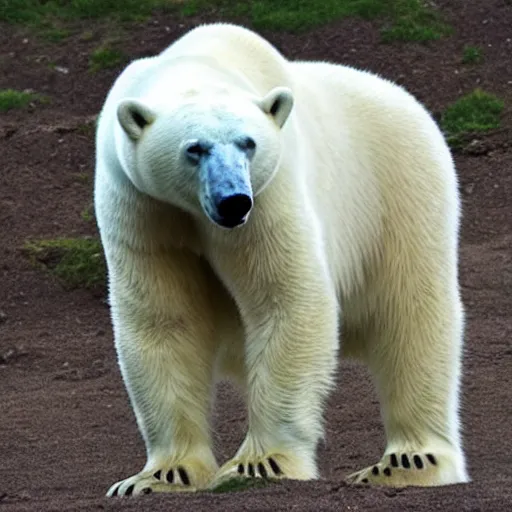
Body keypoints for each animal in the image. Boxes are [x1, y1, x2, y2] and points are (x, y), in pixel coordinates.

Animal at [94, 22, 470, 494]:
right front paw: (161, 475)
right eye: (194, 148)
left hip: (399, 191)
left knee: (412, 318)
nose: (233, 201)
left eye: (248, 143)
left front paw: (258, 463)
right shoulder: (142, 207)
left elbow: (285, 299)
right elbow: (165, 319)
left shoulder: (272, 191)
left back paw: (408, 461)